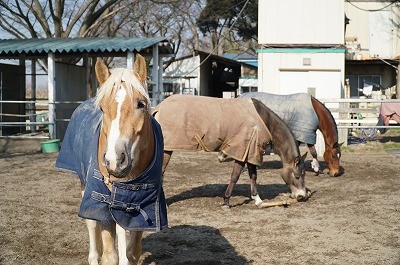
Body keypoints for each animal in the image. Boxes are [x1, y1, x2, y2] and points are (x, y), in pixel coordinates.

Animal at [55, 54, 166, 264]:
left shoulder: (143, 204)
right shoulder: (101, 202)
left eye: (140, 104)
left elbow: (132, 252)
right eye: (102, 108)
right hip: (85, 186)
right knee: (91, 224)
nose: (115, 161)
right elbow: (111, 256)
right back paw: (93, 258)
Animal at [152, 94, 306, 207]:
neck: (264, 120)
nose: (301, 196)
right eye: (297, 175)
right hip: (167, 150)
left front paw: (257, 199)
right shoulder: (242, 151)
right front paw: (226, 201)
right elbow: (235, 176)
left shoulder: (251, 152)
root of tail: (158, 108)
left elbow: (253, 176)